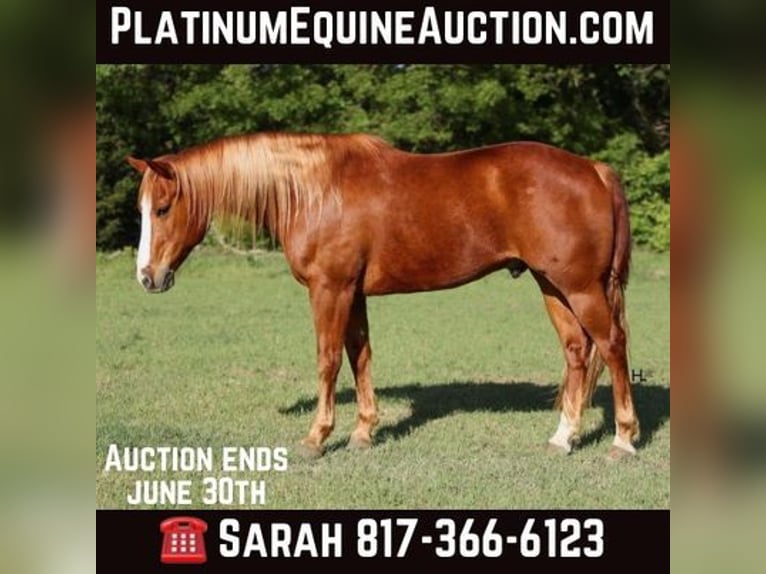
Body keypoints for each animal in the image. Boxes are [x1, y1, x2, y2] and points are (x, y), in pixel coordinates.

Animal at [127, 132, 639, 460]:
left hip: (580, 287)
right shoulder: (352, 293)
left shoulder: (330, 289)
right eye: (142, 208)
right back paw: (563, 438)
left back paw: (622, 440)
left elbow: (329, 359)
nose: (147, 277)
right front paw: (363, 432)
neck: (314, 190)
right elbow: (361, 355)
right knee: (577, 351)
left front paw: (317, 438)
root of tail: (594, 170)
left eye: (163, 208)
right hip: (552, 285)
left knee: (612, 346)